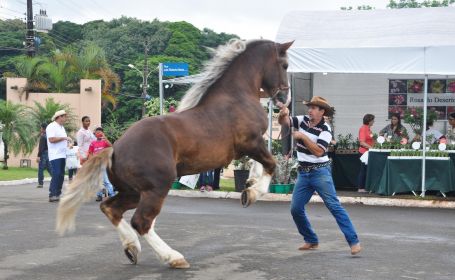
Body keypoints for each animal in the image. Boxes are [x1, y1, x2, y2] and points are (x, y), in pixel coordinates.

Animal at [57, 39, 294, 270]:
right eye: (284, 65)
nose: (284, 97)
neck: (237, 96)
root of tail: (114, 149)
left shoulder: (252, 145)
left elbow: (261, 164)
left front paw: (250, 183)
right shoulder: (251, 143)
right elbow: (271, 163)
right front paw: (252, 193)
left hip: (133, 192)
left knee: (110, 208)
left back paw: (132, 247)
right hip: (157, 187)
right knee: (141, 221)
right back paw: (173, 257)